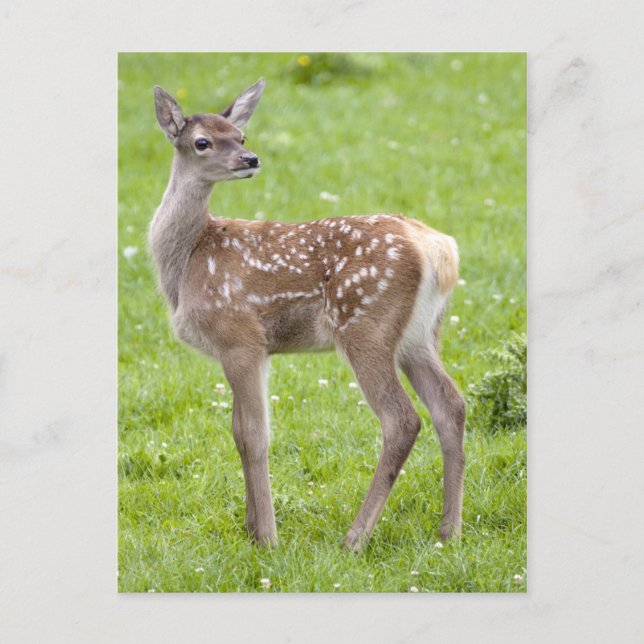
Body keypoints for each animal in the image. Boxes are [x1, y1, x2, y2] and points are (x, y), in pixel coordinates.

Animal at [149, 78, 466, 552]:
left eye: (241, 136)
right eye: (202, 141)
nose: (250, 159)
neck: (188, 261)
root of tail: (438, 248)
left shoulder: (239, 336)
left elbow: (253, 435)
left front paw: (266, 538)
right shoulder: (250, 350)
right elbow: (238, 432)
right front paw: (250, 529)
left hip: (365, 322)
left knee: (402, 419)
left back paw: (355, 538)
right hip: (420, 335)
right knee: (451, 406)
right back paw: (449, 532)